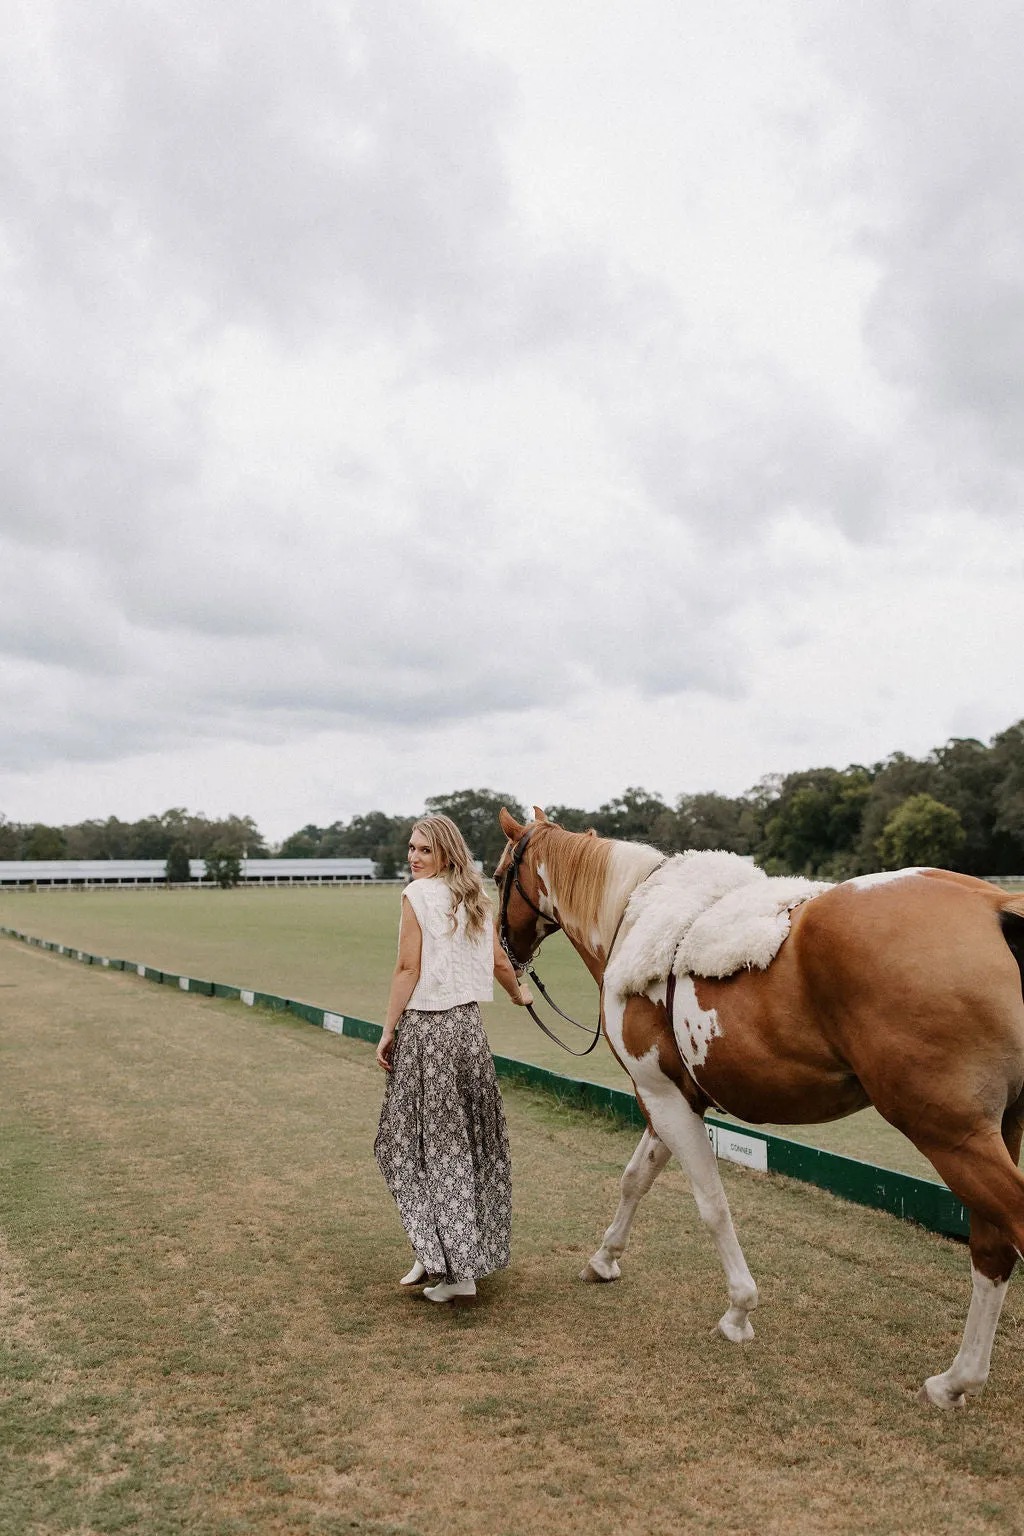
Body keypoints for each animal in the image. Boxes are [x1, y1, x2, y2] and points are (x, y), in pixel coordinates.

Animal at [494, 811, 1024, 1406]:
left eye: (497, 875)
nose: (504, 952)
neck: (633, 915)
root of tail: (994, 906)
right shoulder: (672, 1097)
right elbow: (636, 1179)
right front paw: (605, 1259)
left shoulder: (662, 1098)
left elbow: (711, 1204)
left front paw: (739, 1310)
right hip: (1000, 1131)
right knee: (994, 1251)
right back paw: (957, 1380)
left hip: (954, 1139)